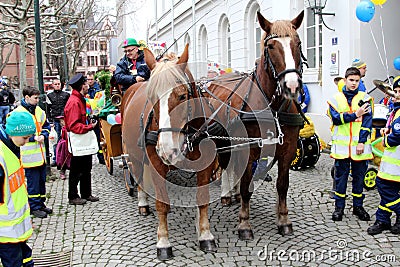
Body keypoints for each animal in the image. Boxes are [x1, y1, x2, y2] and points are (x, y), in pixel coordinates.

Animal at [120, 45, 220, 260]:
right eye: (151, 98)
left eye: (182, 96)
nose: (166, 150)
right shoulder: (156, 164)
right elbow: (161, 205)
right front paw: (163, 242)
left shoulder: (205, 165)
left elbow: (202, 199)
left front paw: (205, 235)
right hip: (134, 155)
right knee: (138, 178)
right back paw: (143, 204)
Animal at [206, 10, 306, 238]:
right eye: (271, 47)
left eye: (297, 43)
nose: (292, 86)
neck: (273, 107)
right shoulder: (249, 148)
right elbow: (245, 186)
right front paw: (244, 223)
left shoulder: (288, 149)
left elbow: (282, 185)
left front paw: (283, 219)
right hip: (223, 141)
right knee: (226, 165)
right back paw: (227, 194)